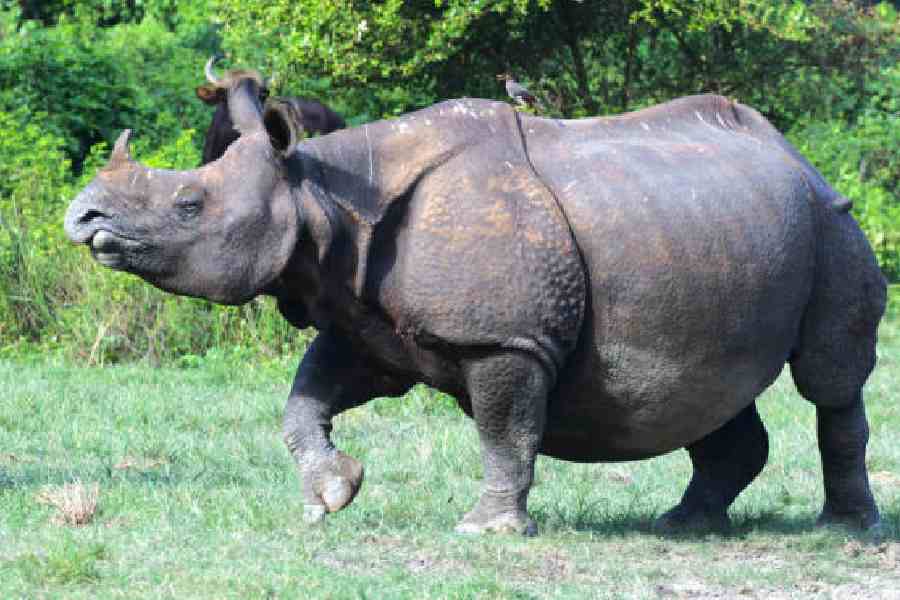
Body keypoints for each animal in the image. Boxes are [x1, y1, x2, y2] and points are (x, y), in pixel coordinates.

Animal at [64, 75, 886, 535]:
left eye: (188, 204)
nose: (83, 217)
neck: (321, 193)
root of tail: (794, 154)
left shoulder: (504, 338)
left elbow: (505, 430)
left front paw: (487, 530)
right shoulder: (365, 317)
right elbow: (304, 402)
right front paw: (330, 496)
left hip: (828, 220)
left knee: (829, 380)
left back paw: (844, 530)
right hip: (717, 232)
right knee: (716, 387)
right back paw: (685, 523)